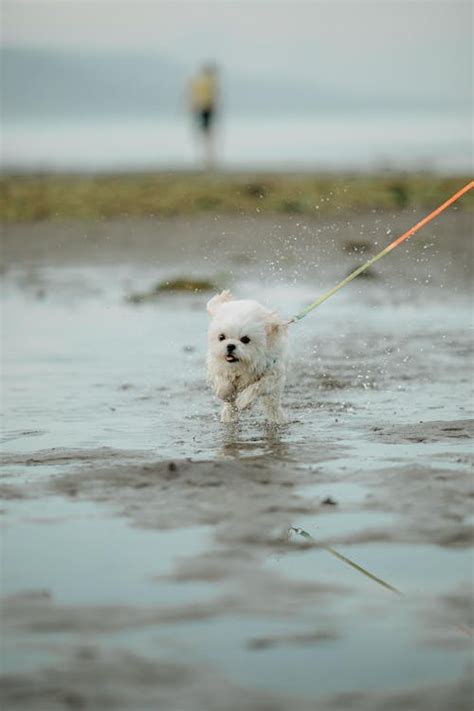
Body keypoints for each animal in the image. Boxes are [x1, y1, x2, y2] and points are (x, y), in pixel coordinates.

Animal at [206, 290, 286, 422]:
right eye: (221, 337)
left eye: (245, 339)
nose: (230, 346)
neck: (242, 365)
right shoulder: (217, 364)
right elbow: (221, 378)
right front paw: (225, 391)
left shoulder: (273, 373)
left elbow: (258, 385)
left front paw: (244, 400)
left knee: (272, 405)